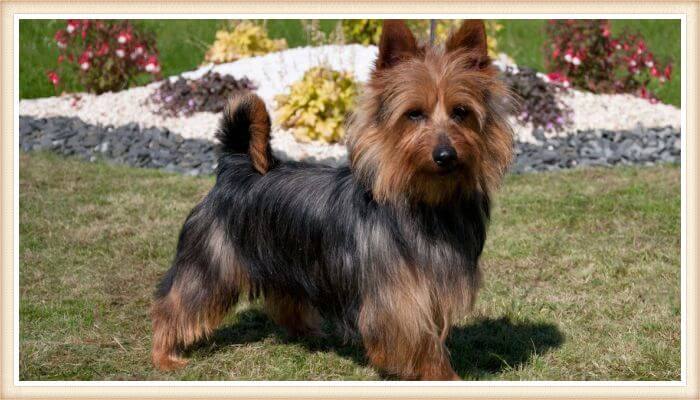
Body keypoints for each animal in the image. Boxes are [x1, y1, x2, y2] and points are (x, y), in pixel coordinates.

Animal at [152, 19, 516, 382]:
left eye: (461, 112)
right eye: (414, 114)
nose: (445, 155)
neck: (428, 201)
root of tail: (235, 166)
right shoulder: (399, 300)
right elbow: (422, 343)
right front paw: (445, 377)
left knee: (283, 299)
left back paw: (308, 332)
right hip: (212, 261)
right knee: (175, 302)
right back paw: (164, 355)